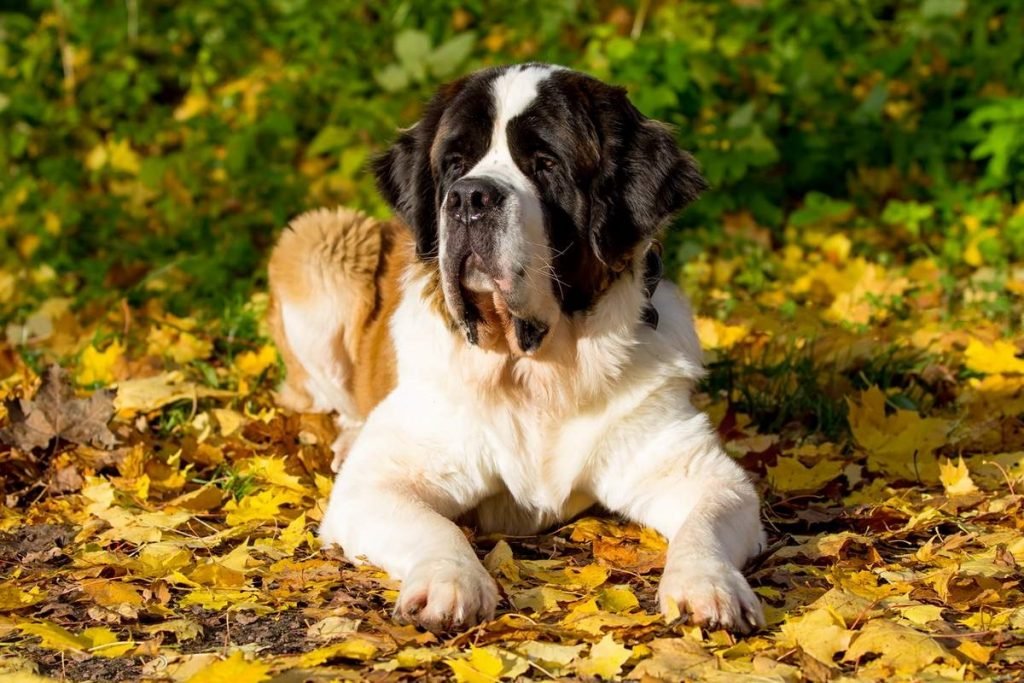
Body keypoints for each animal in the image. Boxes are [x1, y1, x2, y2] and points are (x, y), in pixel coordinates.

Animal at [268, 65, 765, 634]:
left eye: (546, 165)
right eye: (454, 163)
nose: (468, 198)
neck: (533, 368)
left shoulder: (701, 473)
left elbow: (706, 519)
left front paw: (708, 587)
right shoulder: (376, 484)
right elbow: (434, 526)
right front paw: (449, 582)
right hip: (319, 243)